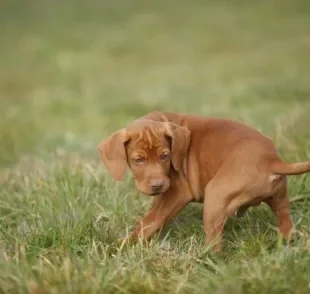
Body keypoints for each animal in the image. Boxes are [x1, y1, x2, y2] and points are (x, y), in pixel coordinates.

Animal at [97, 112, 310, 253]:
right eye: (138, 160)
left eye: (165, 156)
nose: (157, 184)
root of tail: (271, 160)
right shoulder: (165, 193)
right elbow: (154, 212)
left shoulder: (178, 193)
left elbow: (151, 220)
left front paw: (125, 244)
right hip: (279, 197)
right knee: (285, 218)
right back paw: (288, 241)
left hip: (215, 197)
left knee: (215, 244)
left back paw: (205, 259)